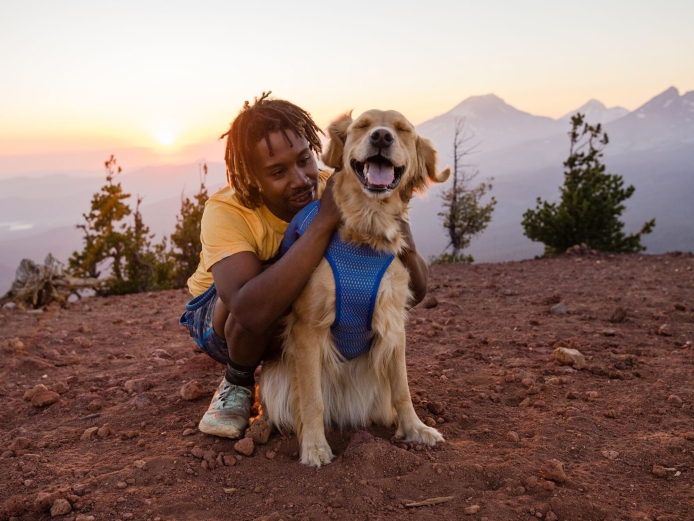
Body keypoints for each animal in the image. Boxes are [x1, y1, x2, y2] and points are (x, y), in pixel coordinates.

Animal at [260, 109, 452, 468]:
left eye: (402, 130)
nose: (382, 137)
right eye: (363, 126)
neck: (366, 231)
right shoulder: (308, 328)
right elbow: (312, 399)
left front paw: (416, 429)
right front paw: (315, 447)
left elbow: (403, 389)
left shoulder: (393, 322)